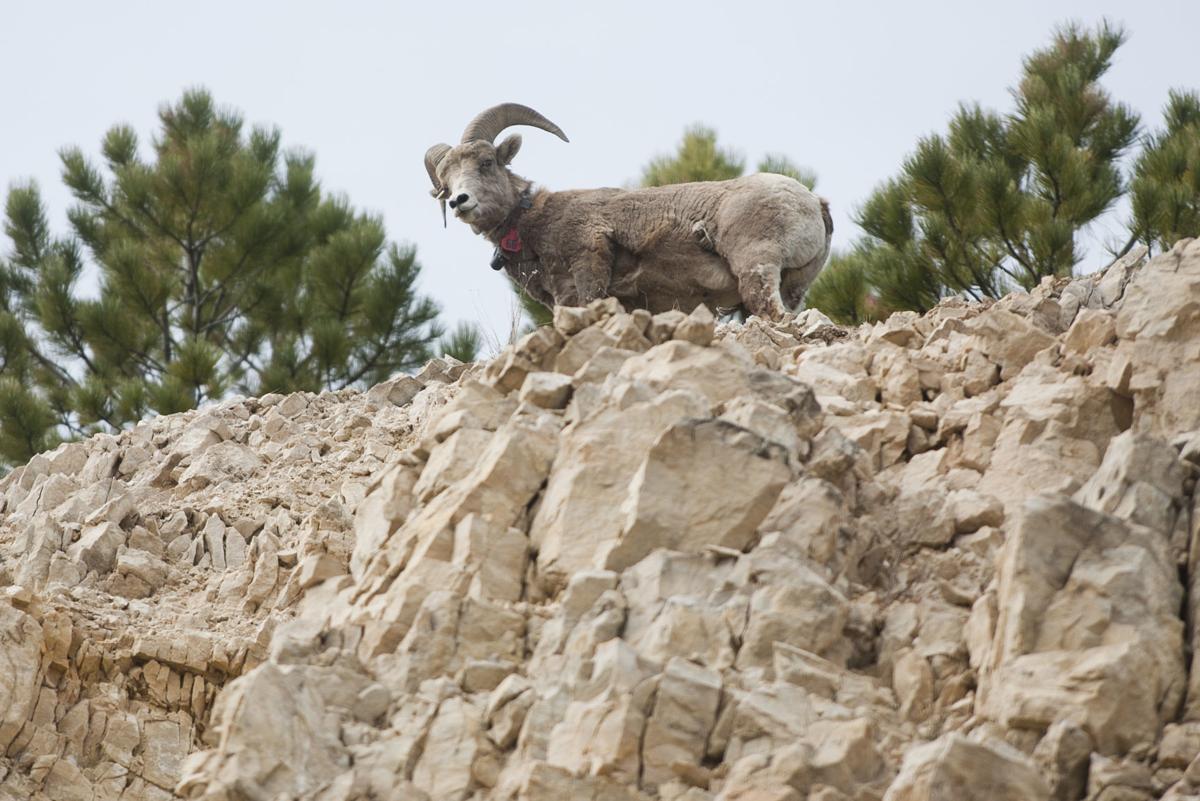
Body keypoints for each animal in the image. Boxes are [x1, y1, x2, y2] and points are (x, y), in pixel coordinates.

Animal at [424, 103, 832, 320]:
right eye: (445, 182)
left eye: (487, 162)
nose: (459, 201)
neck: (534, 225)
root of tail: (814, 203)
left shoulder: (588, 269)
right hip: (793, 287)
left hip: (756, 272)